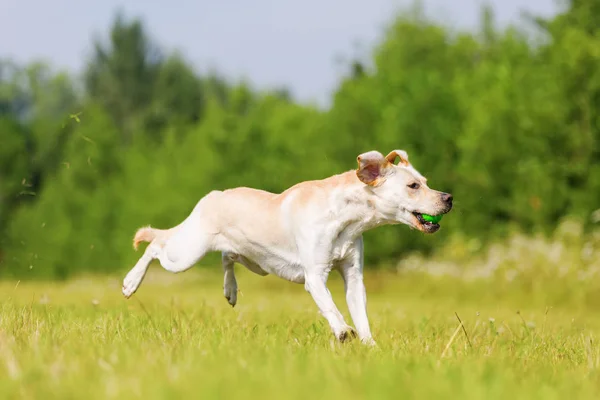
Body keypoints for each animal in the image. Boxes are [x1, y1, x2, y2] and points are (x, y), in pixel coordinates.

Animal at [122, 150, 452, 344]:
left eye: (425, 181)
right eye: (413, 186)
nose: (448, 197)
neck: (346, 218)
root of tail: (211, 196)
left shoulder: (354, 276)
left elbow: (361, 314)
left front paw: (370, 346)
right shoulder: (315, 276)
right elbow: (330, 306)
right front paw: (343, 331)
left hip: (250, 259)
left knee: (227, 257)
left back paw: (230, 291)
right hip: (186, 253)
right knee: (155, 247)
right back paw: (130, 282)